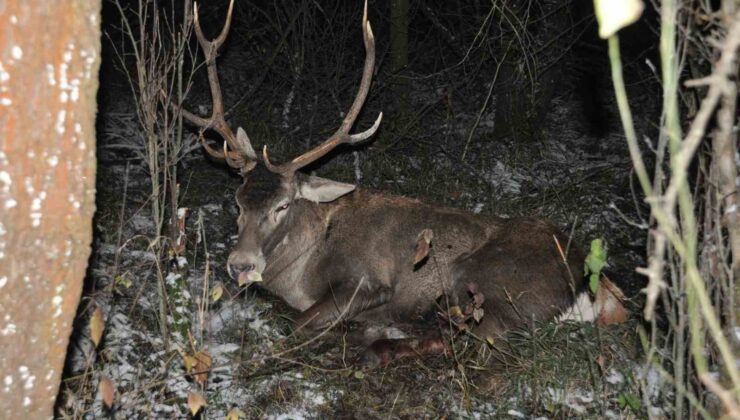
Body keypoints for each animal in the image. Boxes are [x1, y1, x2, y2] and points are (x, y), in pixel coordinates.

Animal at [181, 1, 624, 366]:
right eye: (238, 200)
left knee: (478, 338)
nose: (241, 264)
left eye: (283, 204)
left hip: (486, 280)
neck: (300, 267)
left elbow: (300, 322)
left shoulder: (365, 281)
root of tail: (591, 283)